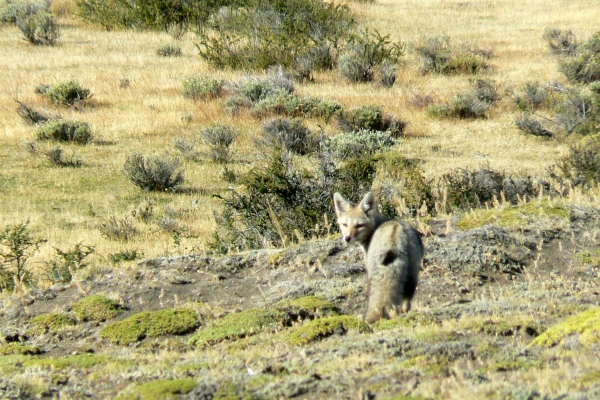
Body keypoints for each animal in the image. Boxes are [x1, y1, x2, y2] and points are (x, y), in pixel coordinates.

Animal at [332, 191, 422, 324]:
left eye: (359, 225)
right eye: (345, 224)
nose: (347, 238)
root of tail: (395, 232)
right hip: (413, 277)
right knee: (405, 304)